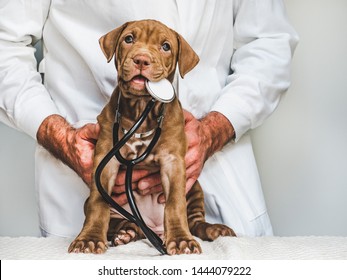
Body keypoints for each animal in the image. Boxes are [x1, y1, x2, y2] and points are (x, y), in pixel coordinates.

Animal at [69, 19, 235, 256]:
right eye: (129, 39)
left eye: (165, 46)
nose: (141, 59)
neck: (141, 110)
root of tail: (154, 229)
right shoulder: (105, 161)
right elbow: (98, 203)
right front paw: (89, 239)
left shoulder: (174, 162)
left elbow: (174, 203)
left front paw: (181, 240)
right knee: (122, 222)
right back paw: (126, 232)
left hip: (194, 187)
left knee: (195, 222)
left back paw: (214, 229)